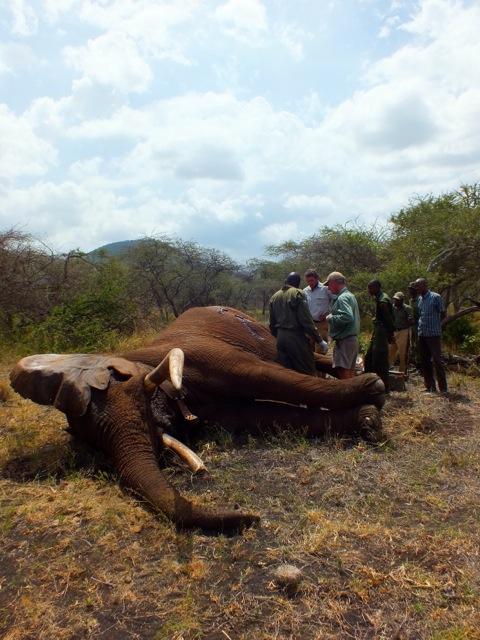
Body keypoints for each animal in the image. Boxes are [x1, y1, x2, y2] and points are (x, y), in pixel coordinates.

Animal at [9, 308, 384, 532]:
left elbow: (267, 376)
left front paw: (374, 388)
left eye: (124, 386)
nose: (250, 516)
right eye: (93, 444)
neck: (143, 359)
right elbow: (264, 416)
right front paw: (366, 417)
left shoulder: (205, 353)